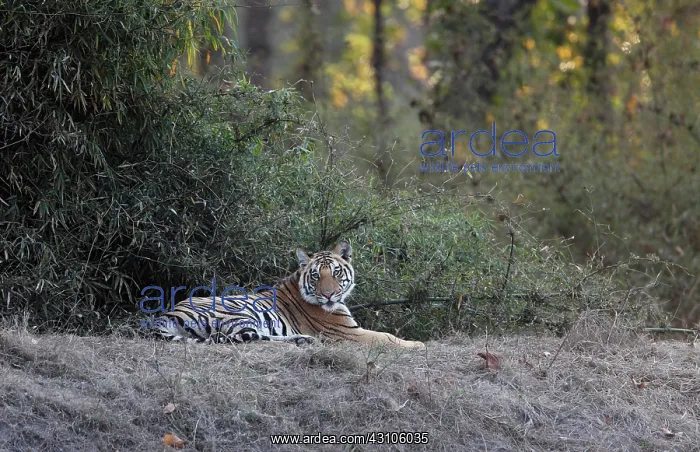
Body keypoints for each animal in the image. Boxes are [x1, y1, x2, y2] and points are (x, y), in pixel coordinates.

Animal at [154, 241, 425, 349]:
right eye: (316, 276)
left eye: (336, 272)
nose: (328, 295)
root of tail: (167, 315)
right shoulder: (348, 332)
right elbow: (387, 337)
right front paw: (417, 344)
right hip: (239, 312)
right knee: (242, 338)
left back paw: (304, 340)